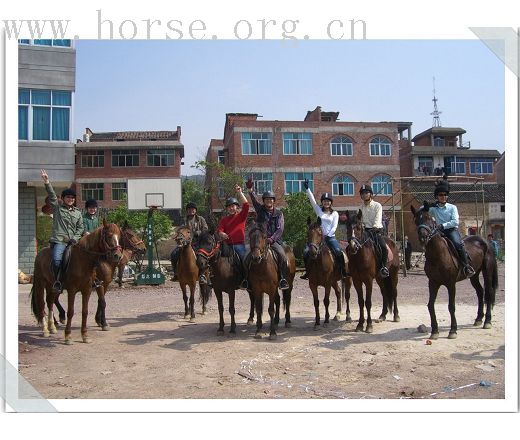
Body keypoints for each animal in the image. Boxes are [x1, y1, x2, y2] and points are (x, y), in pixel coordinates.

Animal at [410, 201, 496, 338]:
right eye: (416, 220)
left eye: (428, 218)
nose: (423, 237)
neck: (437, 254)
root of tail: (484, 241)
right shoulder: (433, 283)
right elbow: (430, 305)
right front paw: (435, 331)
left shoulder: (451, 284)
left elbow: (451, 306)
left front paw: (453, 331)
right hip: (474, 275)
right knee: (480, 292)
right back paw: (478, 319)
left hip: (487, 272)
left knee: (488, 293)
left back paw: (487, 321)